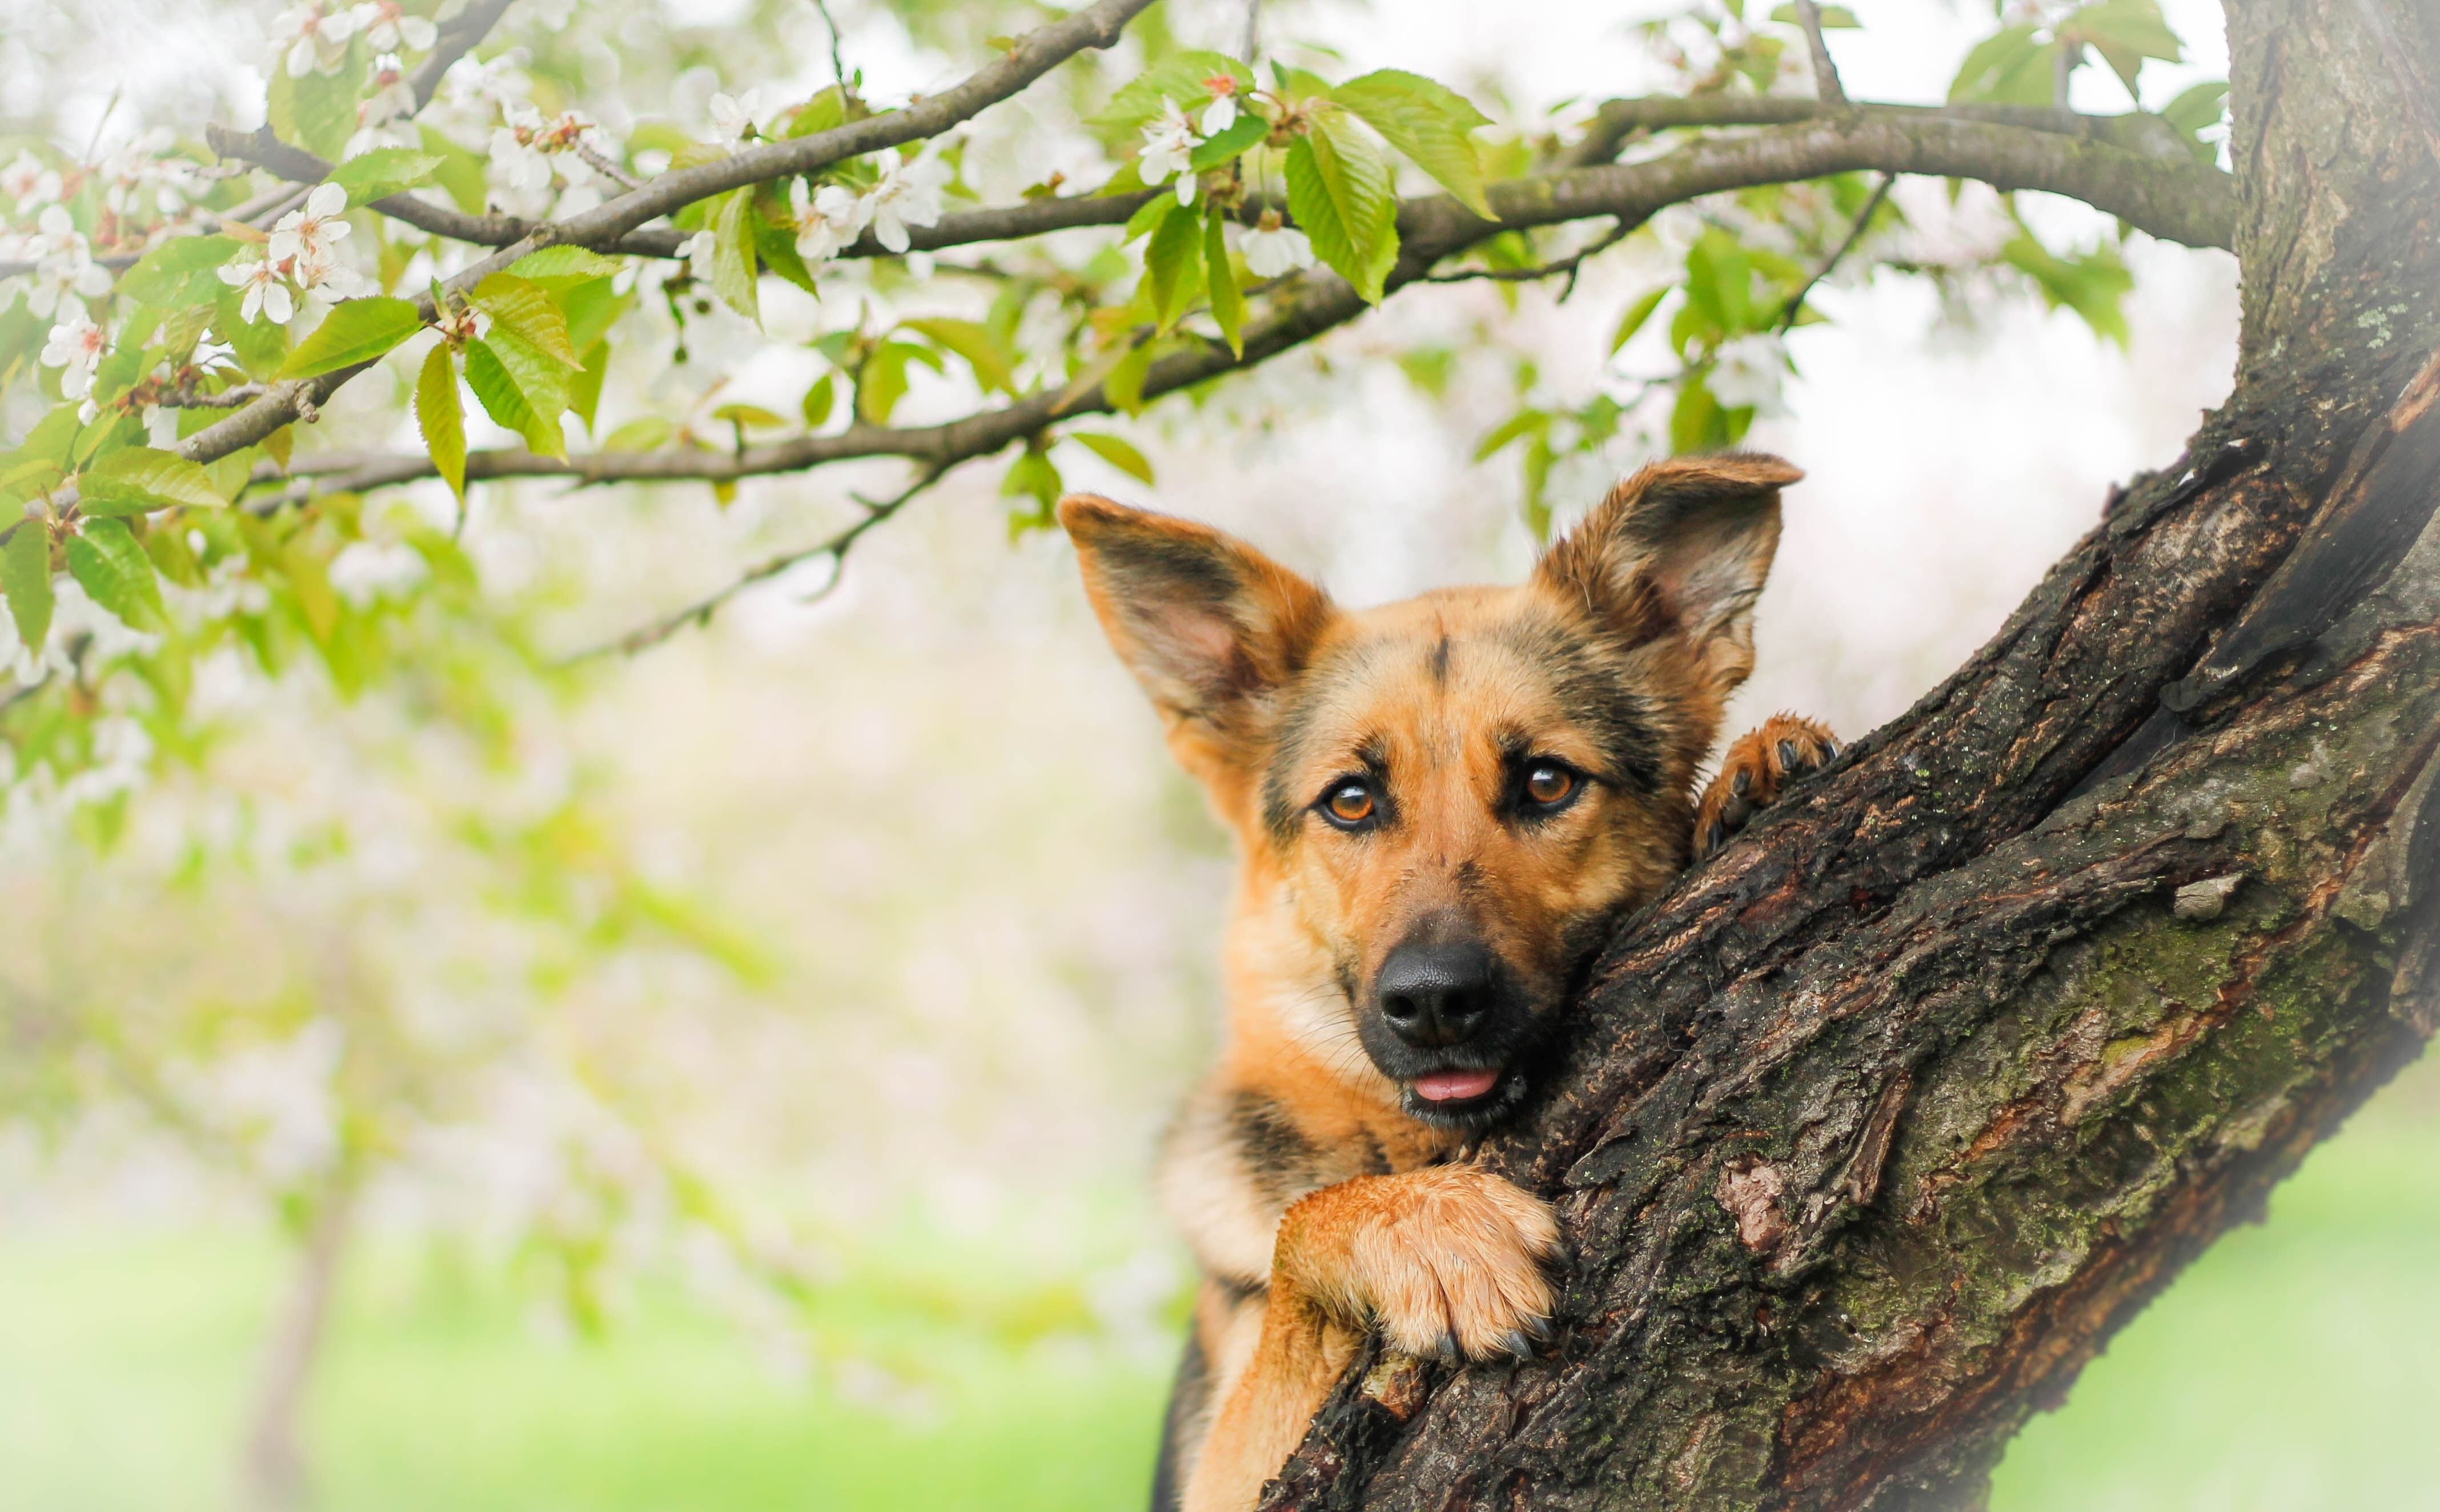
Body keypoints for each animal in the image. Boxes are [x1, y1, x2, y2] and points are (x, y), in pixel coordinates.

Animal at [1059, 451, 1835, 1512]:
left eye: (1546, 781)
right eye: (1351, 800)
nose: (1431, 1003)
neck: (1413, 1149)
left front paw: (1756, 763)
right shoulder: (1222, 1470)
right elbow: (1298, 1230)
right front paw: (1423, 1228)